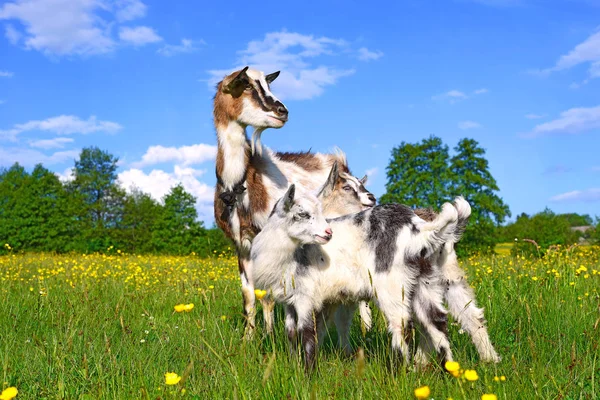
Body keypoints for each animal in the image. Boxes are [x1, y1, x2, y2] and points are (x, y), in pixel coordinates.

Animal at [212, 67, 376, 340]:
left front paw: (268, 336)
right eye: (245, 84)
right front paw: (249, 338)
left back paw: (366, 330)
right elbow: (249, 296)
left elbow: (266, 295)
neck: (242, 183)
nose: (282, 111)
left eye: (268, 84)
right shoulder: (240, 245)